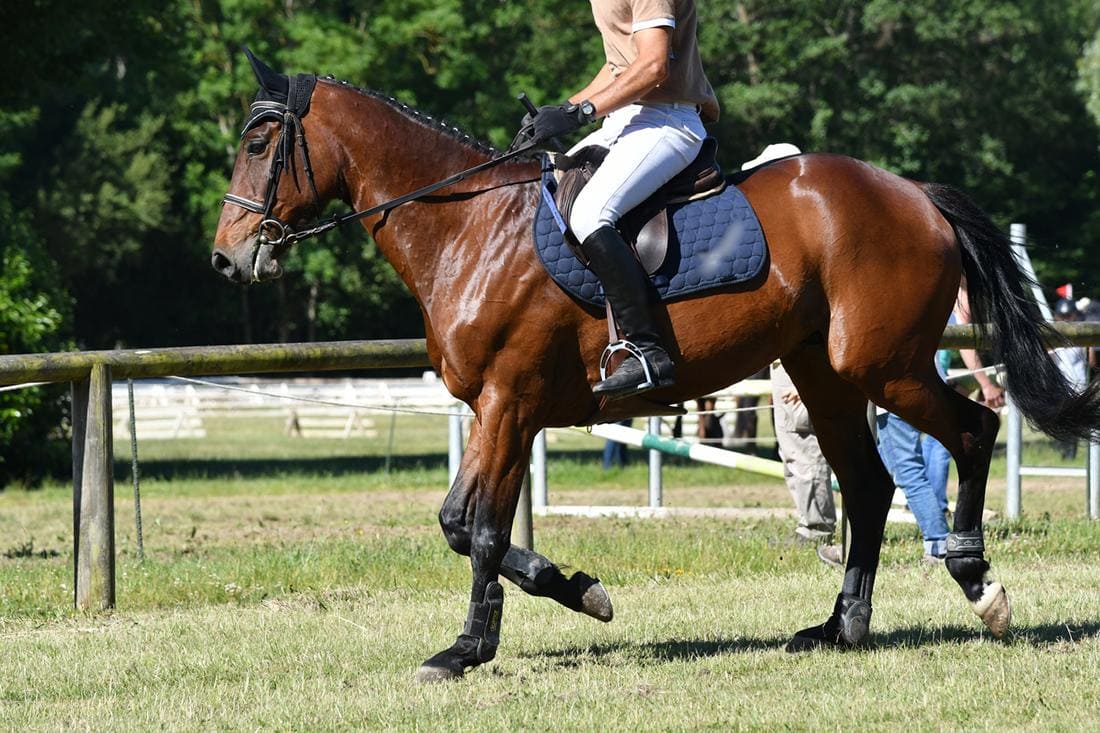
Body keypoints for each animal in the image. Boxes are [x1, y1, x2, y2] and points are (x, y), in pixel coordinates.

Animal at [212, 54, 1100, 682]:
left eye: (258, 143)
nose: (227, 259)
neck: (469, 227)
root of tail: (912, 192)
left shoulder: (506, 401)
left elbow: (481, 528)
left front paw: (465, 649)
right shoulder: (505, 410)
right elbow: (469, 525)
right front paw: (577, 590)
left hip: (883, 365)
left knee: (975, 427)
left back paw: (979, 582)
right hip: (824, 372)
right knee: (871, 484)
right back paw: (840, 626)